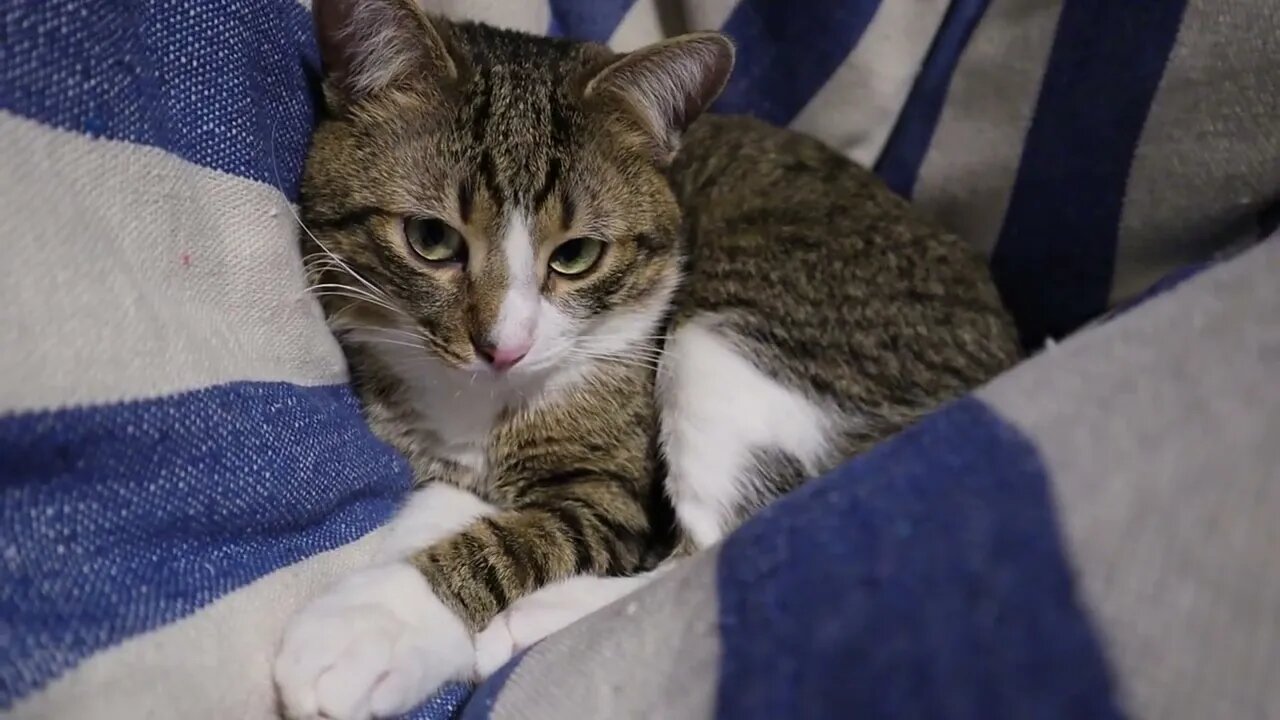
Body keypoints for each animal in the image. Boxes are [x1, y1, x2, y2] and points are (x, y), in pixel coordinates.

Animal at [270, 1, 1018, 717]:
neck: (478, 405)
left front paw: (374, 626)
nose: (504, 347)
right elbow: (443, 506)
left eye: (576, 255)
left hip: (736, 337)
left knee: (706, 550)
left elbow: (523, 540)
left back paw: (529, 622)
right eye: (430, 239)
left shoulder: (613, 491)